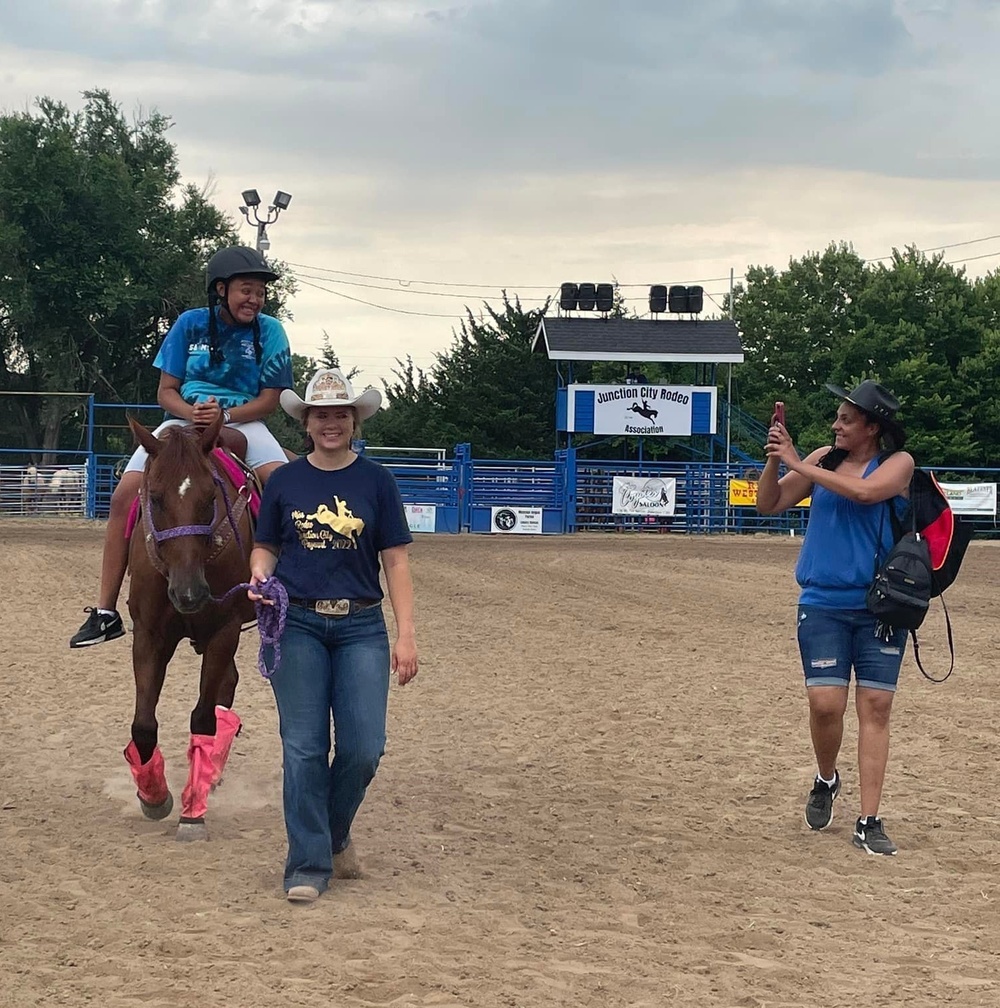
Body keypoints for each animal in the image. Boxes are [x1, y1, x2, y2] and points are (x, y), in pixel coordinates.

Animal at [123, 411, 256, 842]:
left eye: (210, 499)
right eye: (156, 498)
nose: (190, 593)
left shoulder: (224, 631)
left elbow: (202, 718)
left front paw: (192, 811)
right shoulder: (149, 635)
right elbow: (143, 723)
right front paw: (152, 794)